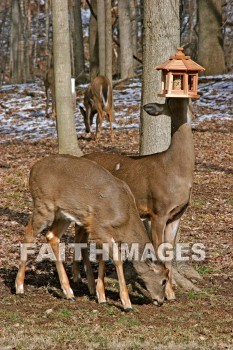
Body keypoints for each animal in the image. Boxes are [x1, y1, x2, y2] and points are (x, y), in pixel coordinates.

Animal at [14, 154, 168, 310]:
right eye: (164, 280)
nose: (161, 301)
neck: (124, 219)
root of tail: (33, 169)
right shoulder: (99, 226)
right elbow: (116, 259)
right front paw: (126, 303)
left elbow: (102, 258)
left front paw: (101, 296)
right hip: (44, 205)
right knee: (29, 233)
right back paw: (19, 287)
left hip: (63, 214)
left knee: (51, 236)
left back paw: (69, 293)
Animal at [73, 98, 195, 300]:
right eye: (169, 101)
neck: (175, 171)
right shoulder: (158, 211)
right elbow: (159, 250)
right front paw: (165, 291)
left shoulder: (177, 214)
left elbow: (169, 253)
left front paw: (171, 293)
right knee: (79, 238)